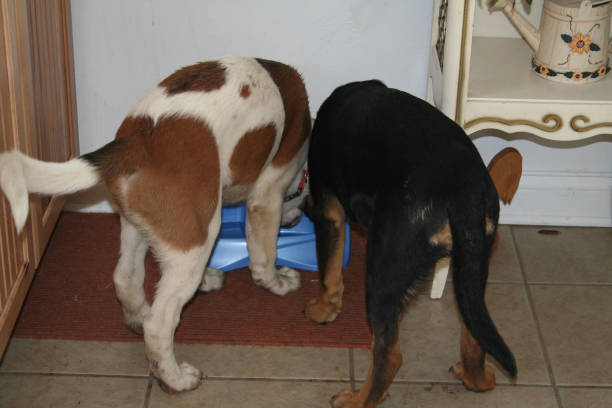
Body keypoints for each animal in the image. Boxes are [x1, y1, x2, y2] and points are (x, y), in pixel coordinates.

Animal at [0, 56, 308, 392]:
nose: (295, 218)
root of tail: (141, 139)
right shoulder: (267, 196)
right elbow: (264, 259)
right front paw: (278, 283)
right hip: (196, 240)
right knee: (160, 325)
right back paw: (175, 378)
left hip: (139, 227)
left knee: (126, 278)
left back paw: (139, 317)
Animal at [304, 78, 520, 406]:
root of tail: (463, 191)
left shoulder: (329, 212)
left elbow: (329, 273)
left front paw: (321, 310)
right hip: (472, 267)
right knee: (474, 331)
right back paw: (477, 380)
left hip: (383, 273)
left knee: (388, 355)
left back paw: (356, 399)